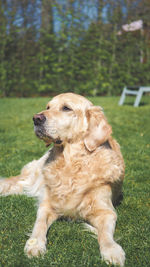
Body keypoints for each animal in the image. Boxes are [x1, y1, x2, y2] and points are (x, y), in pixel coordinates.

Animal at [0, 93, 125, 266]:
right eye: (48, 107)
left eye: (66, 108)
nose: (36, 118)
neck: (72, 163)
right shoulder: (46, 205)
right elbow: (39, 224)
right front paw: (34, 244)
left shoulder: (106, 212)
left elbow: (105, 235)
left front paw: (112, 251)